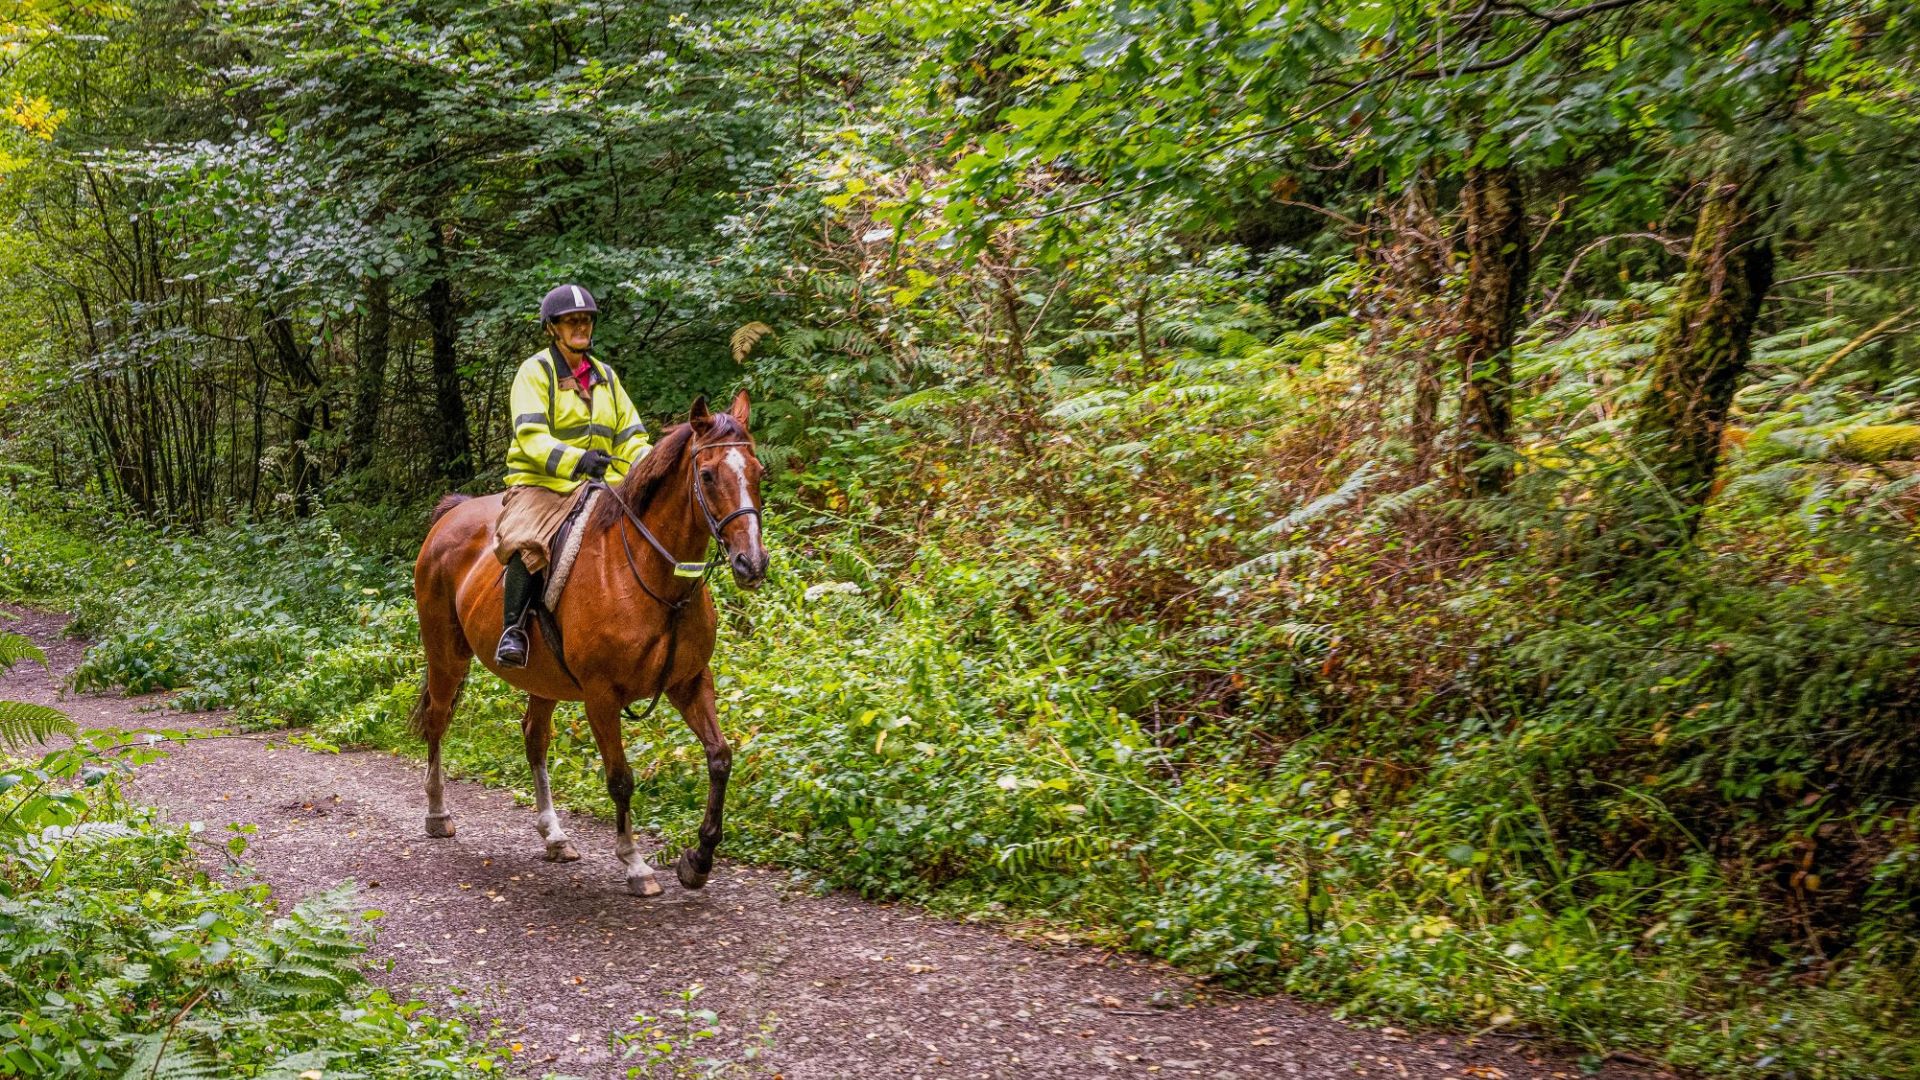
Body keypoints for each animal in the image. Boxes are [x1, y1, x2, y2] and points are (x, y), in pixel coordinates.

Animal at [410, 386, 764, 891]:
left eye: (758, 472)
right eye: (709, 474)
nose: (751, 563)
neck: (655, 578)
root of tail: (453, 511)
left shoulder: (690, 681)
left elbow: (720, 757)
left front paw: (698, 860)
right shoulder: (601, 695)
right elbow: (620, 778)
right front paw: (635, 863)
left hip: (542, 678)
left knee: (534, 737)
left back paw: (555, 837)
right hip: (446, 655)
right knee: (438, 720)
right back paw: (438, 814)